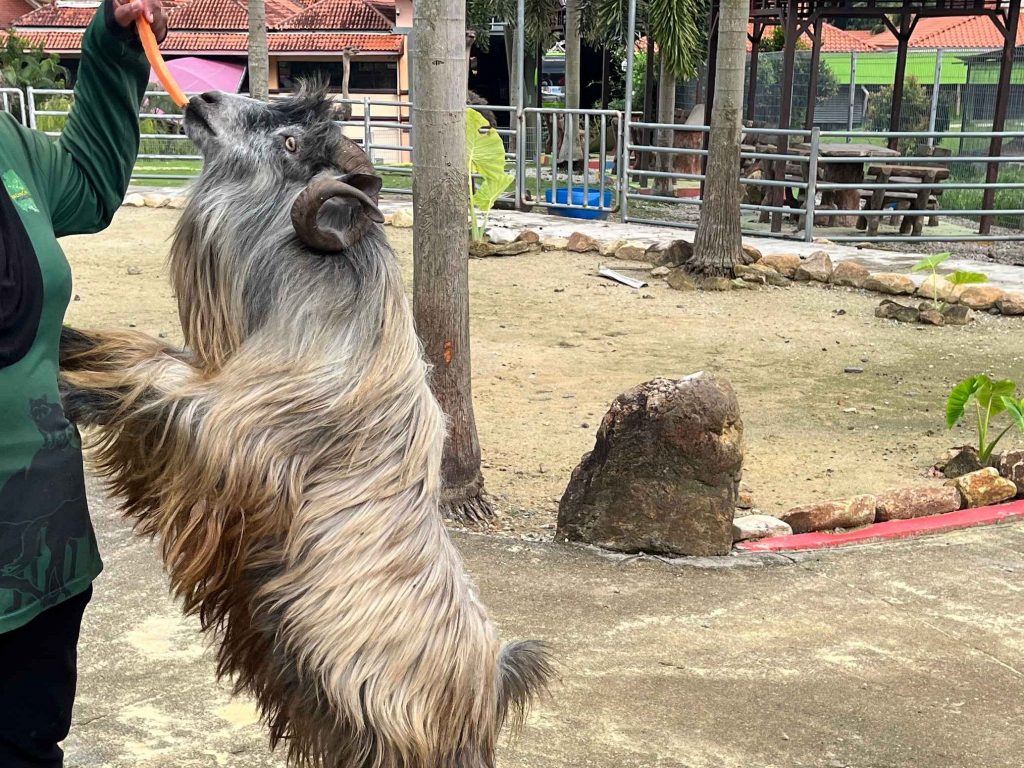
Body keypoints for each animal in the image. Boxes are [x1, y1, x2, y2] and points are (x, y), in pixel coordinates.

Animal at [59, 82, 552, 768]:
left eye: (290, 141)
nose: (204, 98)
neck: (327, 319)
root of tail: (492, 682)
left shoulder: (230, 432)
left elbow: (148, 391)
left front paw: (66, 391)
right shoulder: (209, 379)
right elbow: (135, 355)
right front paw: (62, 345)